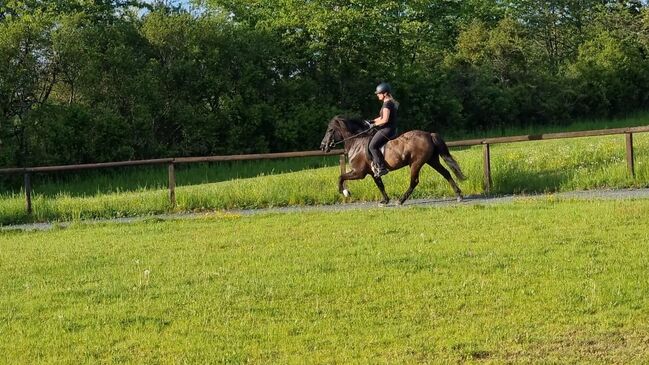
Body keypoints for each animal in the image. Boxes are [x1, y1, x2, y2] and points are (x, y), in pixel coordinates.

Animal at [316, 114, 464, 205]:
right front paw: (385, 201)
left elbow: (341, 177)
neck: (356, 142)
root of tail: (429, 134)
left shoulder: (359, 173)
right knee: (446, 173)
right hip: (431, 160)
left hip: (416, 163)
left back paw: (401, 200)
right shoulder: (373, 173)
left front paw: (345, 192)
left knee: (414, 181)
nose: (322, 146)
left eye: (330, 130)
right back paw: (459, 195)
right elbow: (380, 185)